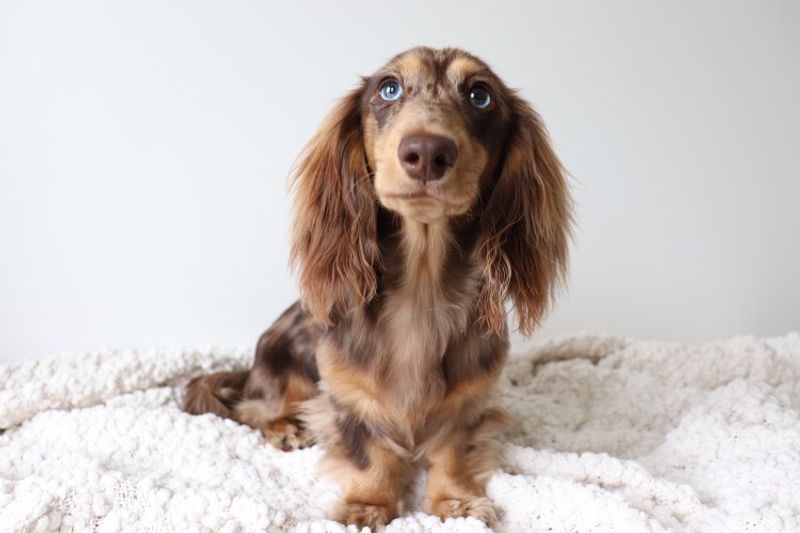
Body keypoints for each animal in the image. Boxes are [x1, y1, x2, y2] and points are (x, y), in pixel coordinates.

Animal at [183, 46, 568, 528]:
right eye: (389, 89)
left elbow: (453, 449)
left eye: (480, 96)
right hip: (285, 366)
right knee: (254, 407)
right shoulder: (350, 397)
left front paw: (455, 501)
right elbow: (370, 453)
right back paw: (284, 427)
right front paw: (367, 505)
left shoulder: (470, 401)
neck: (422, 285)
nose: (427, 151)